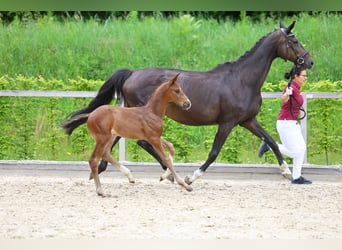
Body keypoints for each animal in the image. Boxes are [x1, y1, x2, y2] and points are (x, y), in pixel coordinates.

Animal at [61, 73, 192, 195]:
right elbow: (166, 159)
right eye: (177, 90)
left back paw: (130, 177)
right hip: (103, 138)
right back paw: (101, 191)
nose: (188, 103)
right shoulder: (153, 138)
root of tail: (90, 115)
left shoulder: (154, 137)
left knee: (106, 153)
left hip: (111, 137)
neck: (152, 112)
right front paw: (184, 184)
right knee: (94, 159)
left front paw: (164, 176)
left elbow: (171, 147)